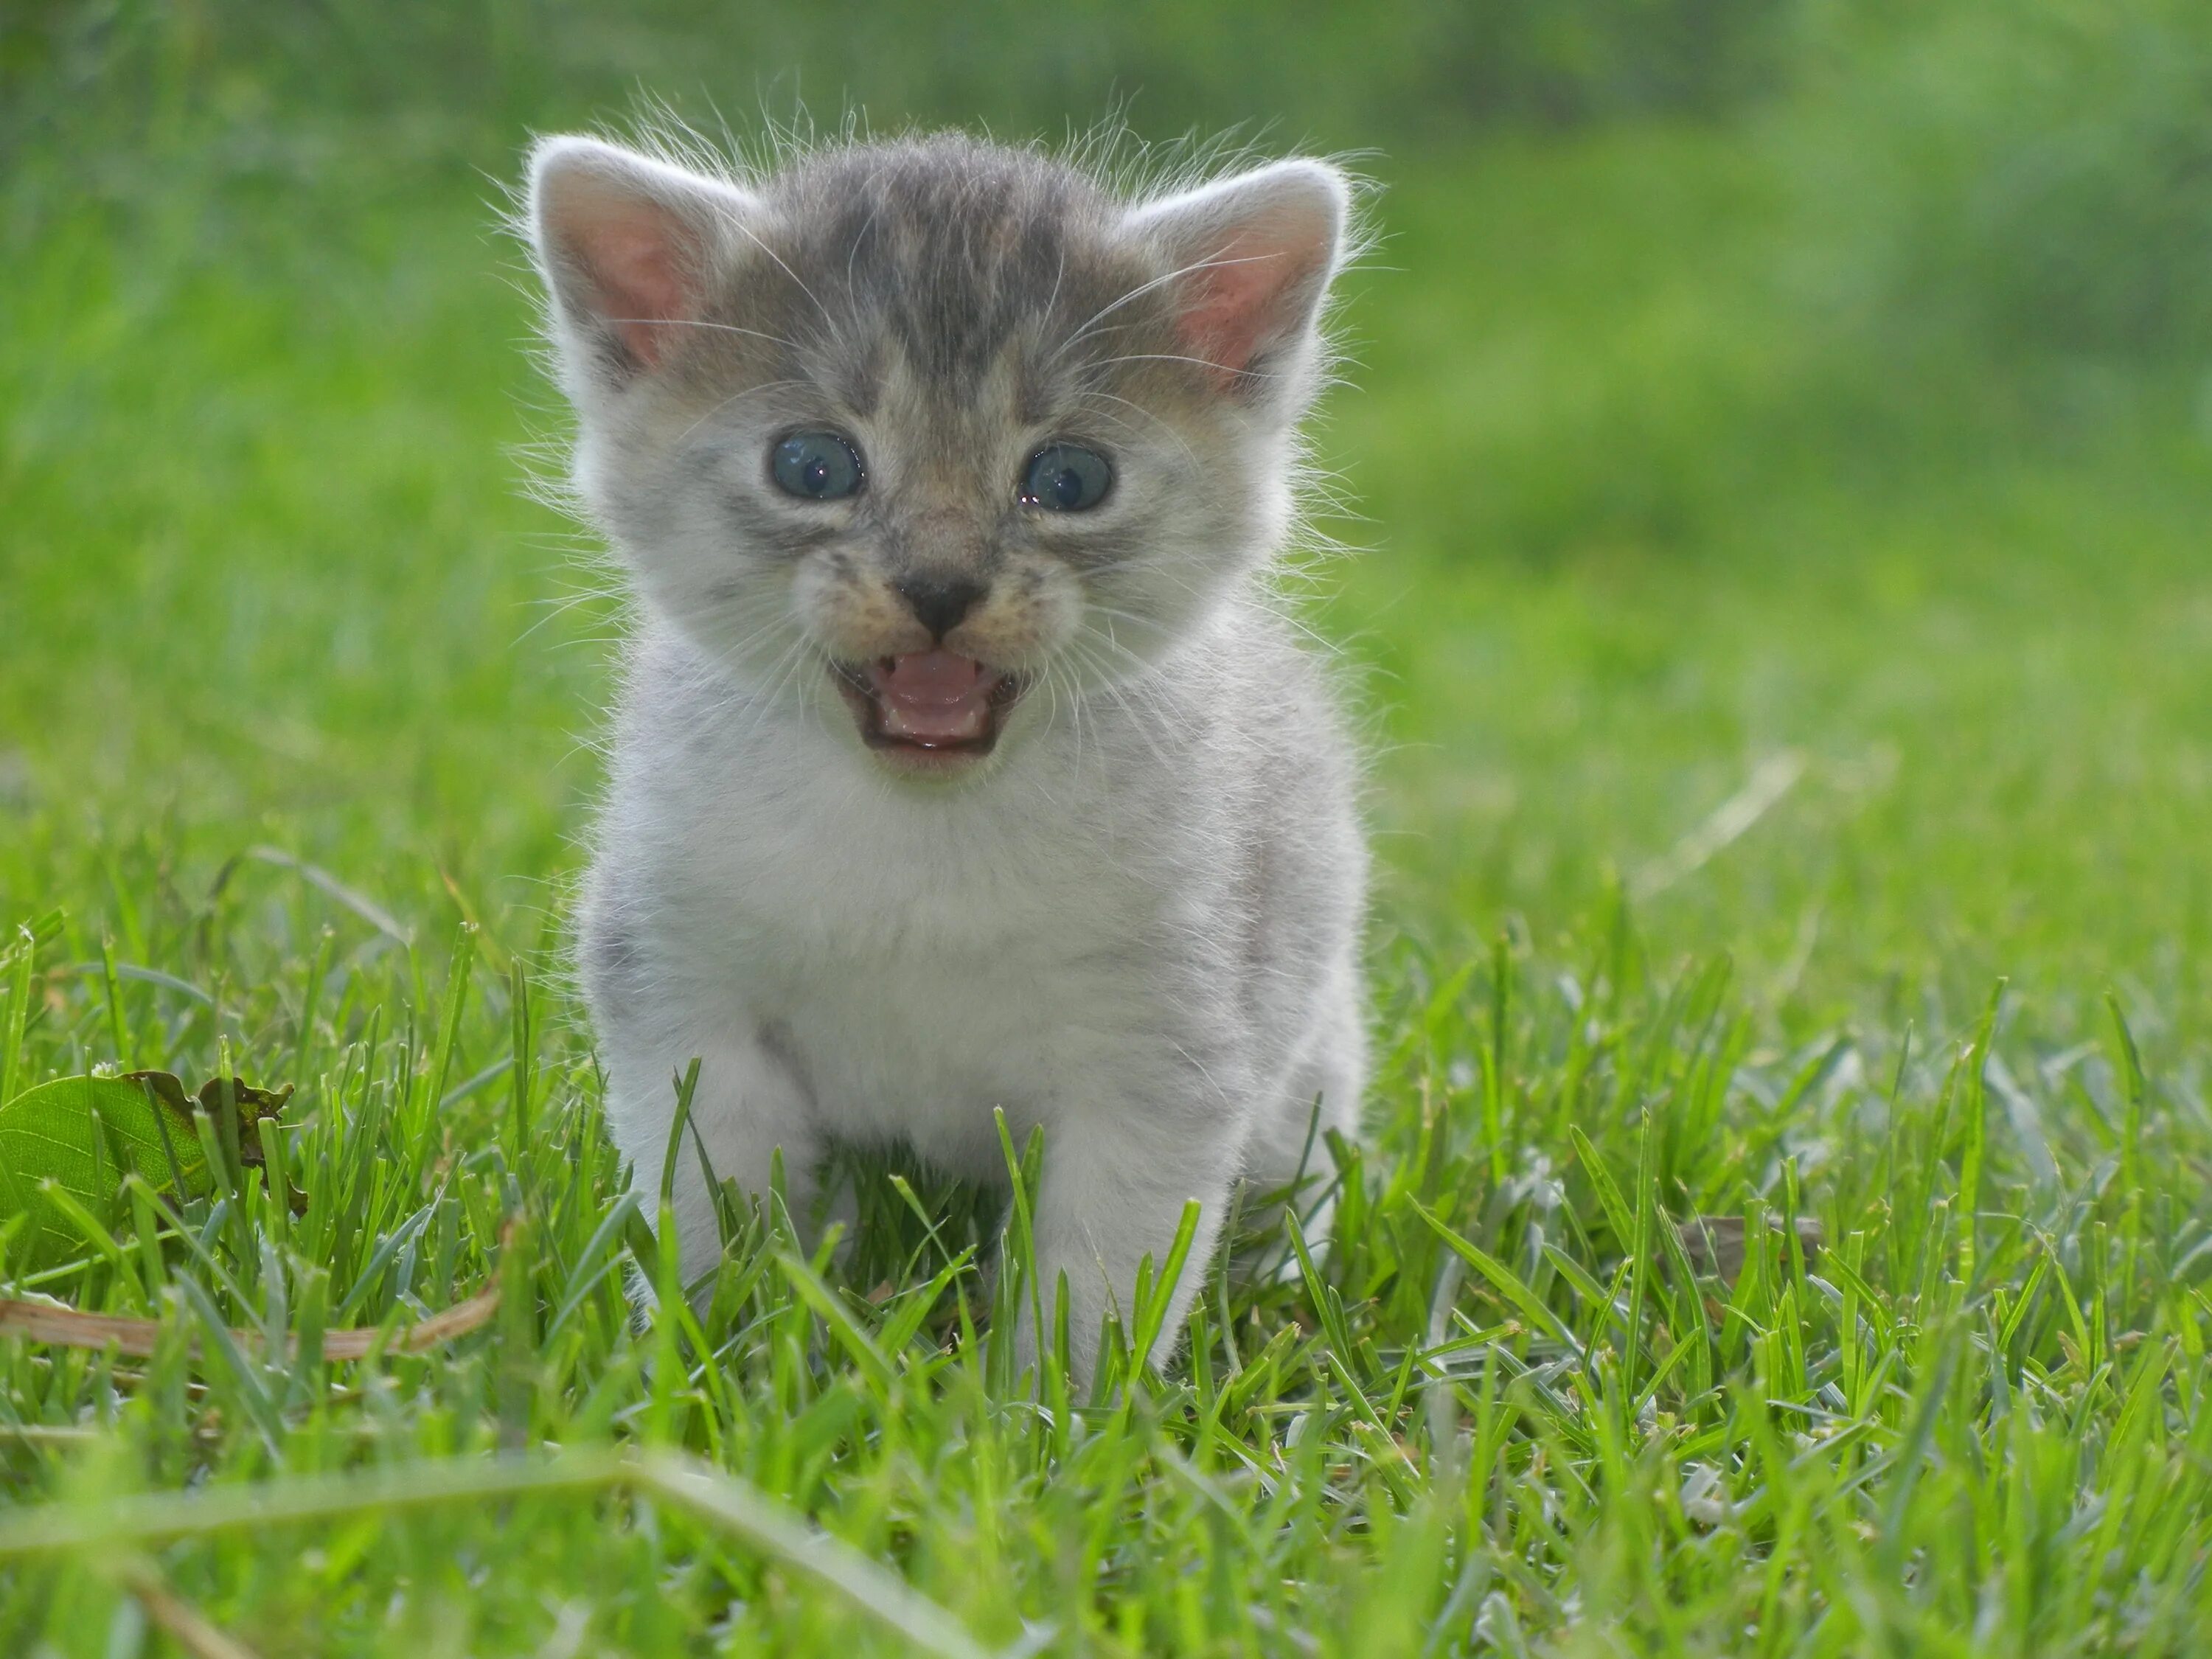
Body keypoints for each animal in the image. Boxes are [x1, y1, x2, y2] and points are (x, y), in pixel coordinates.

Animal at [529, 126, 1371, 1380]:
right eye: (812, 466)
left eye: (1070, 479)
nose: (939, 587)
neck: (921, 834)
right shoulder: (680, 988)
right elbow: (711, 1203)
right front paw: (720, 1359)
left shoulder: (1163, 1047)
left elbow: (1104, 1272)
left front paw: (1057, 1407)